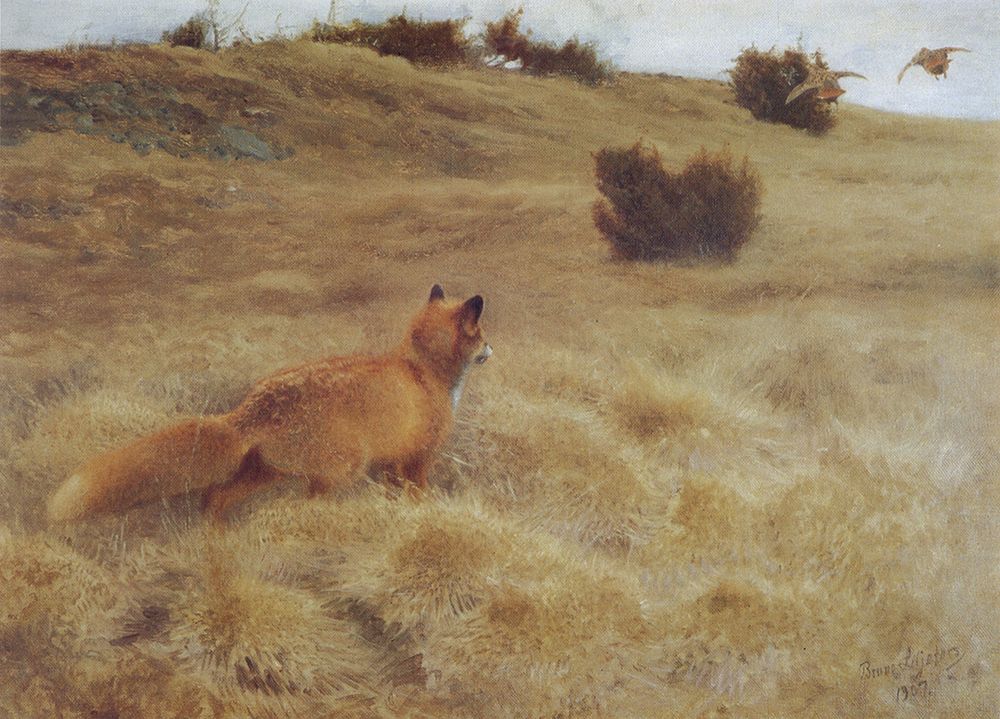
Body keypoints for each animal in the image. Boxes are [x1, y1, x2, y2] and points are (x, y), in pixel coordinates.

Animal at [47, 285, 492, 522]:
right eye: (482, 335)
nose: (493, 350)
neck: (424, 371)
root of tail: (250, 410)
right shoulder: (417, 459)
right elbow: (419, 497)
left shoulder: (391, 465)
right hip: (337, 472)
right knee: (305, 505)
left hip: (266, 473)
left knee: (213, 499)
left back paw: (217, 543)